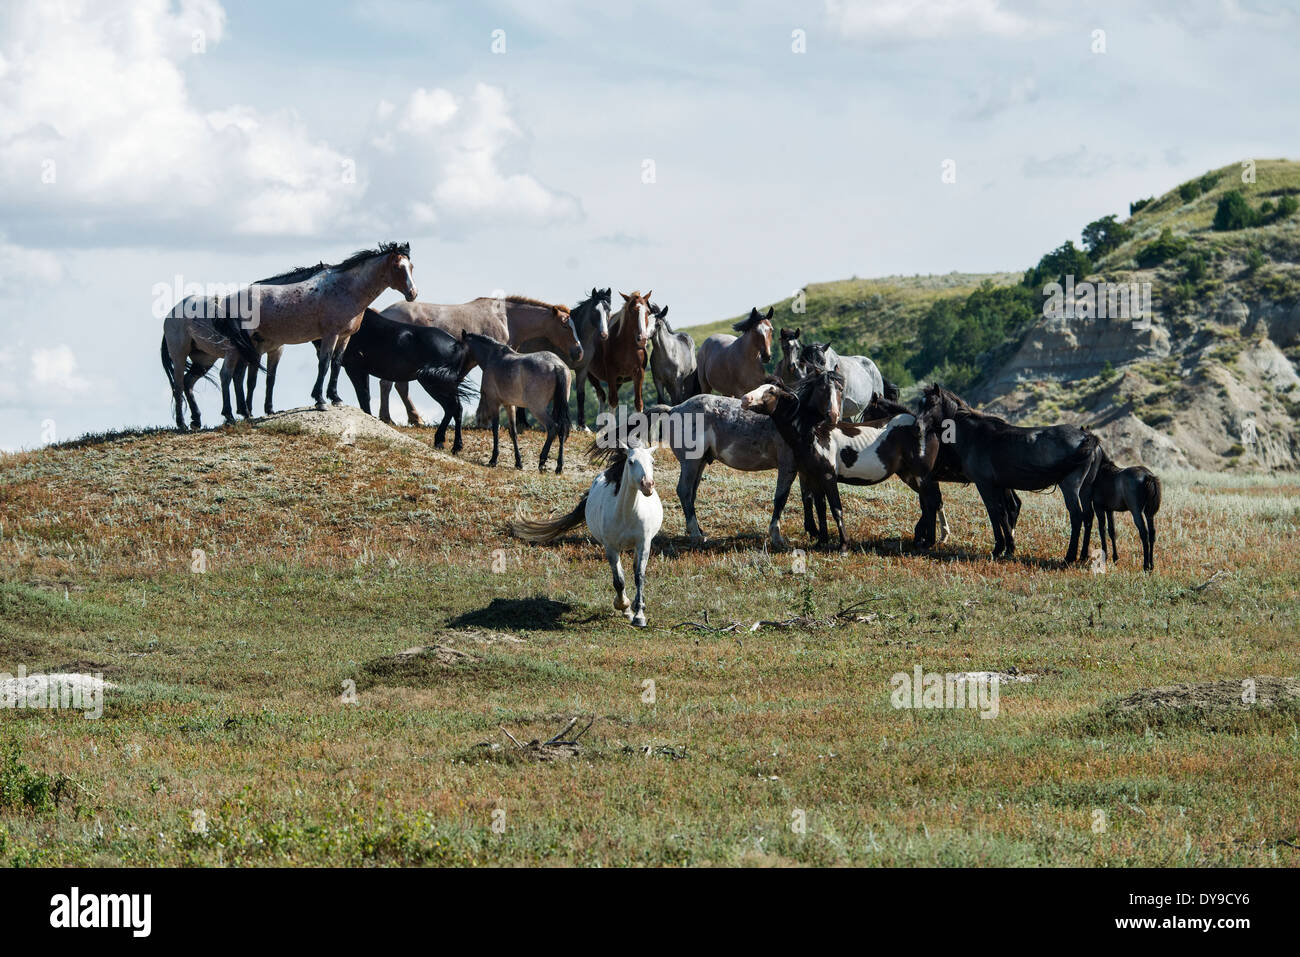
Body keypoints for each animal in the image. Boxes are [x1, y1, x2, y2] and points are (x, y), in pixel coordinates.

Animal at [332, 308, 475, 455]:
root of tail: (457, 345)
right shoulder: (362, 370)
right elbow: (365, 396)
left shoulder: (354, 367)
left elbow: (362, 395)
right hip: (445, 385)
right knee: (456, 408)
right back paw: (452, 445)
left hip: (433, 383)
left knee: (452, 407)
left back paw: (445, 442)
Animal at [377, 293, 579, 423]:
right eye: (565, 326)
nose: (579, 351)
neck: (504, 318)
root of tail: (384, 313)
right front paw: (482, 419)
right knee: (388, 384)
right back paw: (388, 417)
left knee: (398, 387)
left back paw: (412, 417)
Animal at [462, 335, 574, 473]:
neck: (493, 357)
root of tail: (557, 365)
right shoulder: (510, 405)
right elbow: (513, 432)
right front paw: (518, 462)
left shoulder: (494, 402)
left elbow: (495, 429)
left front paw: (493, 459)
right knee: (562, 429)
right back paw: (559, 466)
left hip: (537, 409)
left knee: (553, 428)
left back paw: (542, 461)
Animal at [509, 442, 665, 629]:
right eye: (631, 461)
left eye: (652, 461)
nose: (647, 485)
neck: (627, 513)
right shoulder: (610, 547)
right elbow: (619, 580)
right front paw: (624, 606)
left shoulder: (643, 543)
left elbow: (639, 576)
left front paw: (639, 615)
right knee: (620, 574)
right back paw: (626, 607)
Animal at [920, 382, 1102, 561]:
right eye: (920, 403)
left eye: (933, 403)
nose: (918, 426)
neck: (976, 436)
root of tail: (1086, 437)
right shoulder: (999, 485)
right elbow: (1004, 513)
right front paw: (1009, 548)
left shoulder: (984, 485)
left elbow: (994, 512)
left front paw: (998, 549)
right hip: (1086, 488)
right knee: (1088, 516)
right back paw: (1083, 555)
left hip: (1070, 487)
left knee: (1077, 516)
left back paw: (1070, 556)